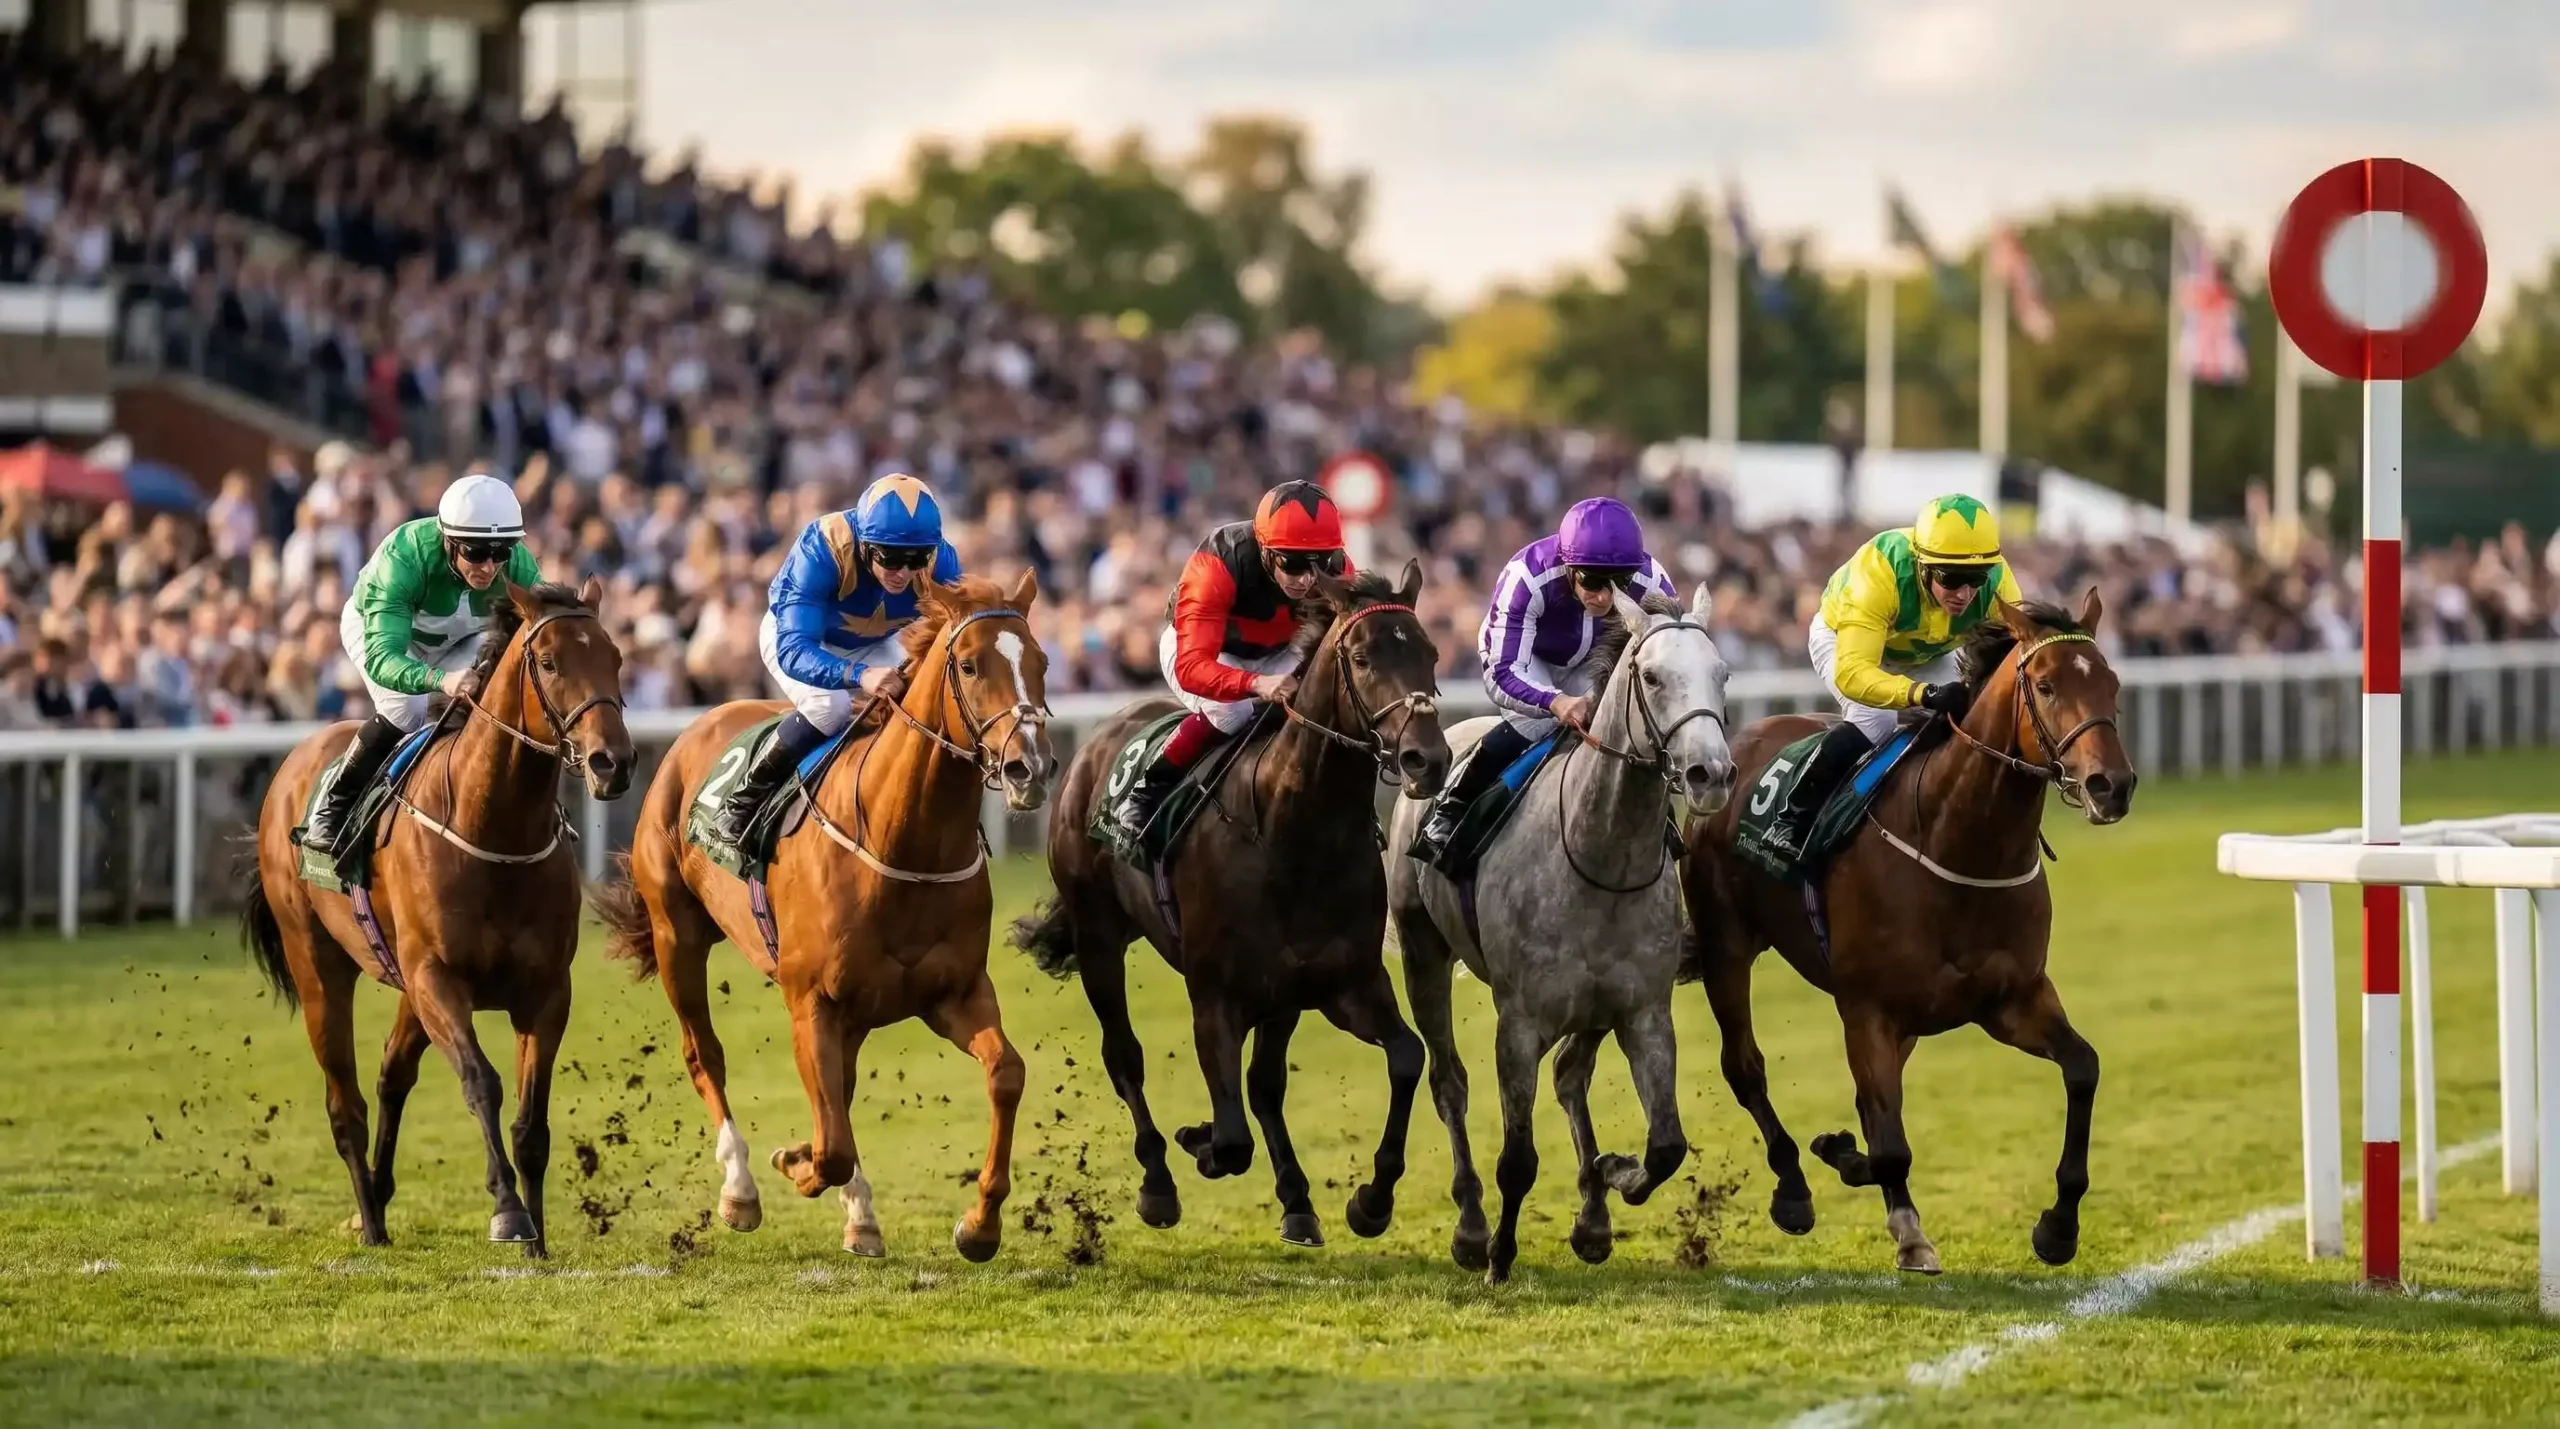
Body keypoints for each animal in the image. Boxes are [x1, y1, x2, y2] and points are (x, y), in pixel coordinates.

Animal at [242, 579, 634, 1255]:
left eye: (614, 657)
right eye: (549, 663)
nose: (614, 762)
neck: (492, 827)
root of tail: (292, 766)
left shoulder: (546, 993)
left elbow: (532, 1123)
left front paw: (539, 1243)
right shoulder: (438, 980)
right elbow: (481, 1082)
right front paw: (508, 1212)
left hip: (404, 985)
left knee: (391, 1076)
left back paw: (377, 1198)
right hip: (319, 965)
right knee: (344, 1104)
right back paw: (371, 1223)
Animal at [591, 571, 1054, 1260]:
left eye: (1042, 663)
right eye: (970, 665)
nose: (1032, 767)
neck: (902, 842)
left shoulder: (954, 993)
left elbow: (1005, 1073)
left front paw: (979, 1225)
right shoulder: (810, 1001)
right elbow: (831, 1147)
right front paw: (796, 1164)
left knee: (841, 1089)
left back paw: (858, 1214)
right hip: (677, 934)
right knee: (705, 1054)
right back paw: (742, 1189)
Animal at [1012, 563, 1450, 1247]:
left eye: (1429, 653)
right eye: (1361, 657)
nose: (1427, 760)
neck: (1296, 832)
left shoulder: (1341, 983)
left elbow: (1404, 1058)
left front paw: (1370, 1202)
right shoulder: (1215, 997)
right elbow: (1232, 1137)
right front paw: (1199, 1141)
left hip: (1280, 997)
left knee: (1265, 1086)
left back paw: (1297, 1200)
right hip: (1099, 936)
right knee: (1124, 1056)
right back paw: (1159, 1184)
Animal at [1385, 586, 1735, 1282]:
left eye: (1722, 674)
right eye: (1652, 677)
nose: (1711, 774)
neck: (1600, 852)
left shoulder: (1643, 1013)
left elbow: (1667, 1145)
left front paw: (1613, 1173)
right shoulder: (1518, 1023)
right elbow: (1517, 1158)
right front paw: (1498, 1256)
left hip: (1593, 1008)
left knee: (1572, 1075)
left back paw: (1594, 1218)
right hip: (1421, 951)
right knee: (1449, 1082)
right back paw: (1471, 1228)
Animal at [1680, 594, 2136, 1274]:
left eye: (2111, 683)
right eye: (2047, 685)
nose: (2113, 785)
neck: (1958, 842)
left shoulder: (2013, 999)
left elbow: (2083, 1068)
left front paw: (2058, 1227)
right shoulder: (1867, 1007)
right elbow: (1892, 1140)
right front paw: (1909, 1233)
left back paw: (1841, 1154)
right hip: (1726, 946)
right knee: (1745, 1067)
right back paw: (1793, 1189)